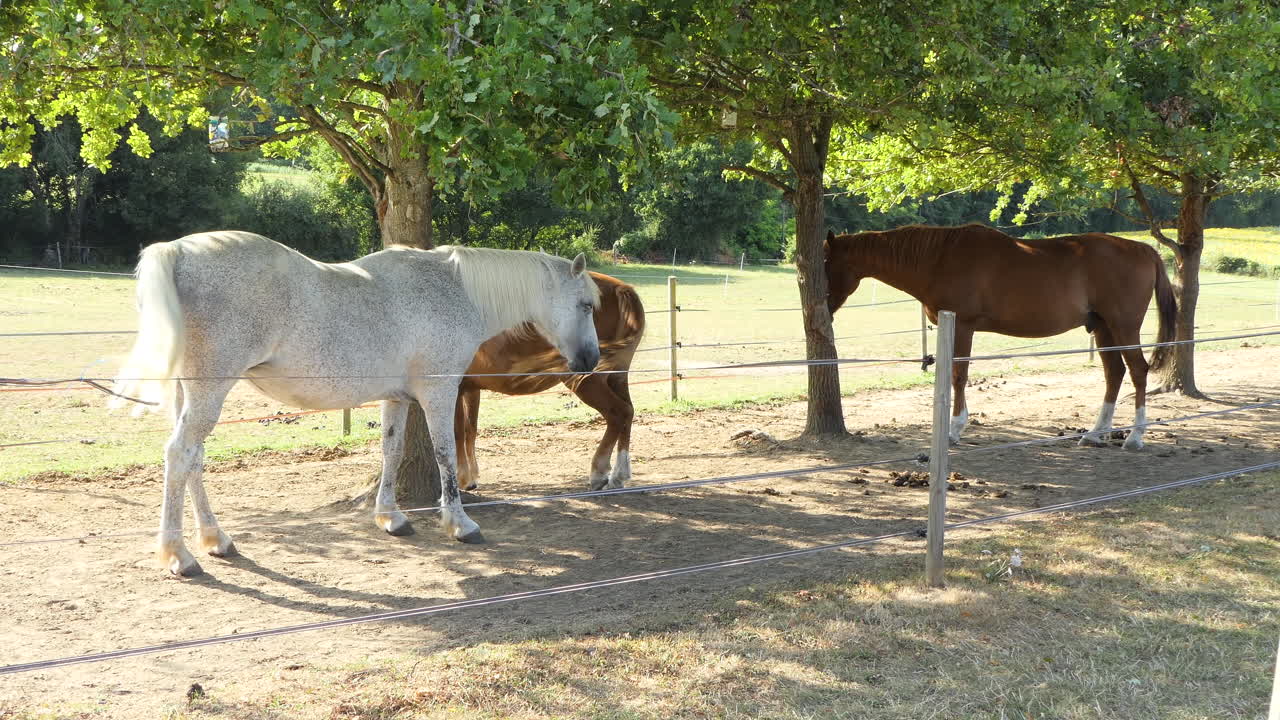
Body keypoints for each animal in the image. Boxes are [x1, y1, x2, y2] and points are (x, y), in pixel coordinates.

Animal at [111, 231, 600, 576]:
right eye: (586, 305)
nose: (591, 360)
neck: (453, 290)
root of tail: (177, 251)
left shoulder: (397, 399)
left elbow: (392, 451)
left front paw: (391, 517)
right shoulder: (439, 392)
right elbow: (445, 455)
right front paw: (460, 524)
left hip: (190, 393)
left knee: (193, 458)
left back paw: (216, 539)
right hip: (210, 389)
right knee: (180, 455)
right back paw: (179, 555)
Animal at [455, 272, 645, 492]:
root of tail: (620, 288)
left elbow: (457, 431)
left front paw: (462, 479)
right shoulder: (470, 388)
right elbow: (470, 429)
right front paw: (472, 476)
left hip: (587, 382)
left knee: (618, 412)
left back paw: (599, 472)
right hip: (617, 376)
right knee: (628, 412)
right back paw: (619, 475)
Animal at [824, 224, 1176, 450]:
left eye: (826, 261)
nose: (823, 305)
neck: (939, 258)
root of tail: (1144, 249)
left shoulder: (963, 326)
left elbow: (958, 375)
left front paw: (954, 429)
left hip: (1123, 326)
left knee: (1138, 371)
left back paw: (1135, 438)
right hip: (1103, 327)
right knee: (1114, 373)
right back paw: (1094, 433)